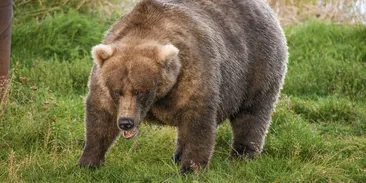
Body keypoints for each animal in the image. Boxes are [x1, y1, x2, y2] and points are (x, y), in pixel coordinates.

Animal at [78, 0, 288, 173]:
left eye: (140, 92)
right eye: (117, 91)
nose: (126, 122)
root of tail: (265, 7)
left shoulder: (193, 71)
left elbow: (198, 121)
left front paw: (190, 168)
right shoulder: (102, 81)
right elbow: (100, 117)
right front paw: (87, 162)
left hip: (257, 63)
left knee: (252, 114)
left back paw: (243, 155)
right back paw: (177, 155)